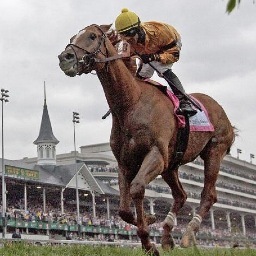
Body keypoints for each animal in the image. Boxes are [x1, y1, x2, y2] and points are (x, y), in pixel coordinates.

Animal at [58, 23, 234, 254]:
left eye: (92, 36)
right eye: (72, 37)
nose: (65, 57)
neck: (131, 103)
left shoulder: (156, 155)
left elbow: (137, 188)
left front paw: (149, 241)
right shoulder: (125, 163)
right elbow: (123, 209)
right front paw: (149, 221)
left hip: (214, 152)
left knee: (208, 195)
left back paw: (187, 235)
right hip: (171, 165)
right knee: (181, 195)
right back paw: (167, 237)